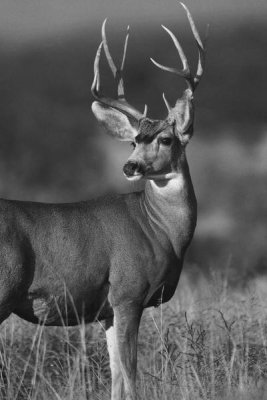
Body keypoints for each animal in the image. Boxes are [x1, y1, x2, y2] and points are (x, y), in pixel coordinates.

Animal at [0, 3, 207, 400]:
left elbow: (115, 378)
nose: (130, 166)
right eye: (134, 141)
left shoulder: (107, 310)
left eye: (166, 139)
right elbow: (130, 375)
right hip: (4, 286)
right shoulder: (127, 291)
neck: (160, 231)